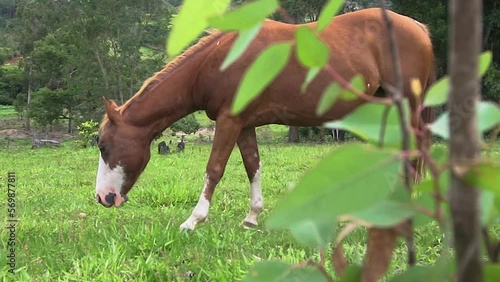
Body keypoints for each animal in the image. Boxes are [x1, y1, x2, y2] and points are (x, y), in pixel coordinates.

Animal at [95, 7, 436, 230]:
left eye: (103, 145)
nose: (103, 197)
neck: (218, 59)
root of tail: (419, 27)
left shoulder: (229, 121)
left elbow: (214, 169)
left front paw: (193, 219)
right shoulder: (244, 124)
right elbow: (252, 166)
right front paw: (252, 217)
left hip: (408, 106)